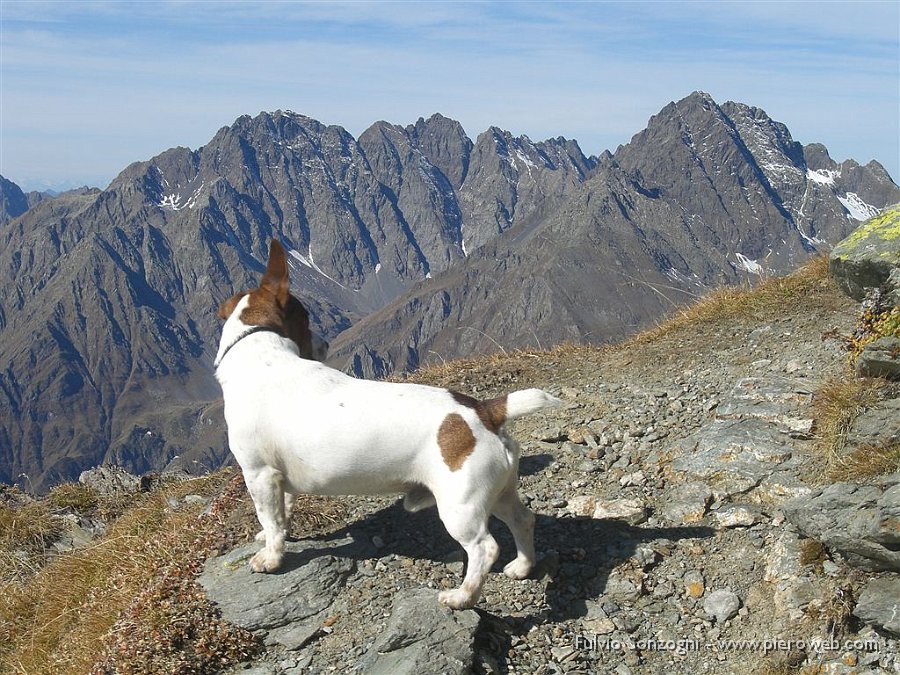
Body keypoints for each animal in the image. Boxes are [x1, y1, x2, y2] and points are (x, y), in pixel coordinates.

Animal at [214, 240, 560, 608]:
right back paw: (522, 566)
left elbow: (269, 514)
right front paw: (273, 536)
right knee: (523, 520)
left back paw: (461, 596)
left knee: (484, 548)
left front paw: (271, 558)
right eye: (306, 319)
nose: (325, 345)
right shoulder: (279, 477)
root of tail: (484, 410)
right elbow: (282, 513)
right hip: (499, 493)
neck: (260, 353)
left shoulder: (259, 473)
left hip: (460, 506)